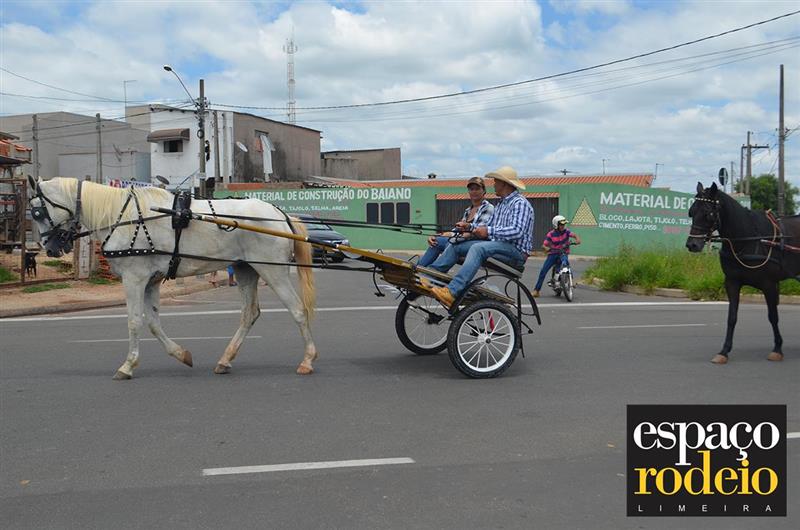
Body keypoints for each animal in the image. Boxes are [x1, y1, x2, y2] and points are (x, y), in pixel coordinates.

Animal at [28, 177, 318, 379]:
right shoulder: (151, 280)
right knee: (250, 314)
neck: (122, 217)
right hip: (246, 270)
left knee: (297, 309)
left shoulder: (134, 278)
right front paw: (181, 355)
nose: (49, 248)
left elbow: (134, 321)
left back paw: (307, 360)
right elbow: (153, 323)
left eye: (37, 212)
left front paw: (127, 366)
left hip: (273, 270)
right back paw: (225, 359)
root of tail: (281, 214)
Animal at [686, 182, 800, 364]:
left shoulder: (769, 285)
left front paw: (777, 348)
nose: (692, 245)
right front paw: (724, 351)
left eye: (708, 214)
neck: (748, 239)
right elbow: (732, 317)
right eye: (691, 212)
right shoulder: (732, 282)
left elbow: (773, 316)